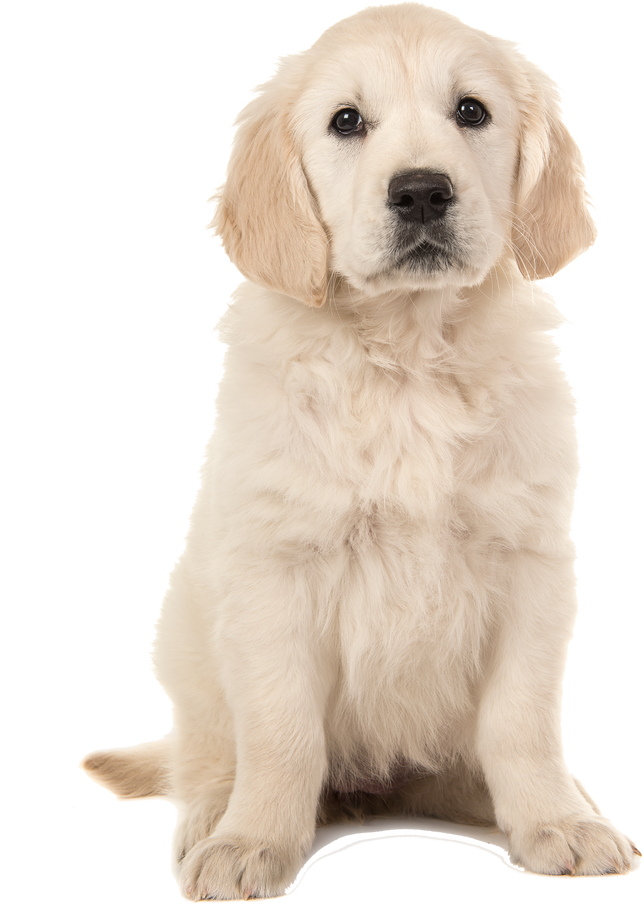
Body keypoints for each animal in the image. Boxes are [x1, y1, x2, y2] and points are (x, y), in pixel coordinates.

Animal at [78, 5, 640, 896]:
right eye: (347, 122)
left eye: (471, 111)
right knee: (205, 756)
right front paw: (254, 842)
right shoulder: (275, 572)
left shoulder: (530, 563)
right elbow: (281, 730)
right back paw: (212, 819)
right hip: (185, 645)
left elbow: (521, 719)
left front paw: (555, 819)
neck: (406, 356)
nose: (421, 191)